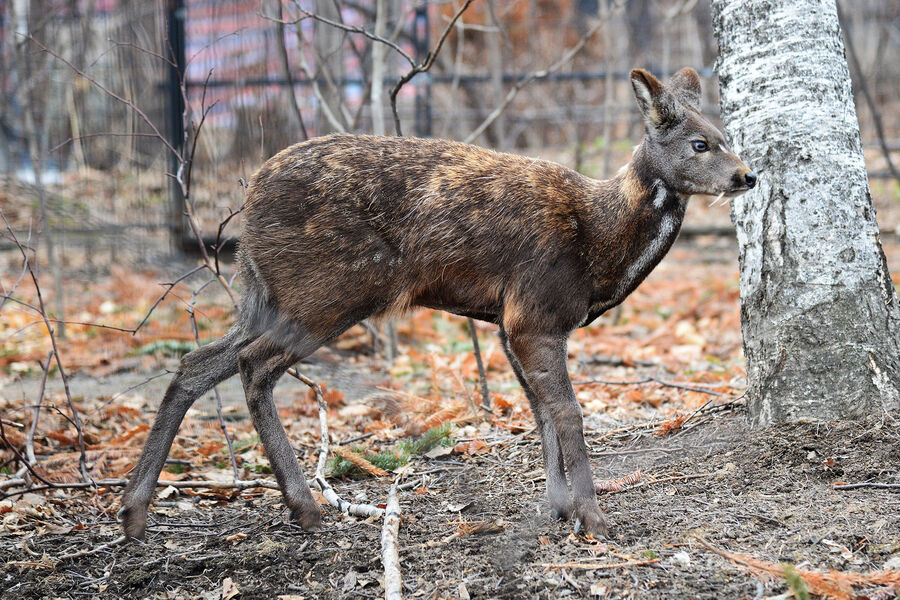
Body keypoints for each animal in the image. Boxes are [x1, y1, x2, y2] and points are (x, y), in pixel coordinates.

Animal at [119, 67, 752, 540]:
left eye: (725, 134)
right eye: (699, 143)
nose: (746, 175)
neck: (601, 244)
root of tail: (248, 197)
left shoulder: (507, 322)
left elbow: (540, 413)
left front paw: (556, 508)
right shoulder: (535, 311)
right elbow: (569, 412)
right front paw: (592, 518)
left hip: (268, 295)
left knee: (196, 362)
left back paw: (134, 511)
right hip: (330, 292)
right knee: (253, 365)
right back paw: (305, 507)